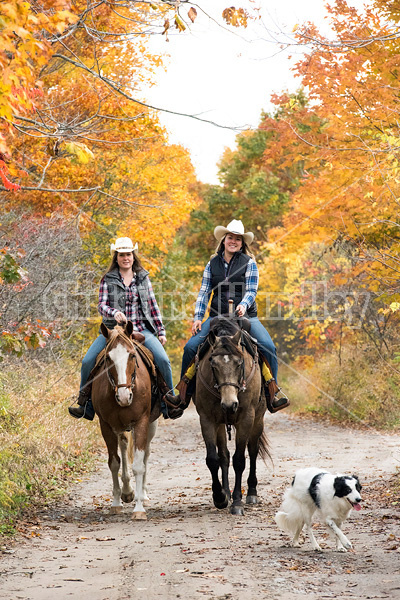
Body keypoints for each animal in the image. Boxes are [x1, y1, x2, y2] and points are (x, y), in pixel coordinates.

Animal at [91, 322, 159, 516]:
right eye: (108, 359)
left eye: (132, 355)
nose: (123, 396)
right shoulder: (106, 425)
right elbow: (114, 463)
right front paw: (116, 503)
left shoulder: (142, 422)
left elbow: (139, 464)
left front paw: (139, 508)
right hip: (120, 427)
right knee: (123, 445)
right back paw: (128, 491)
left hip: (150, 426)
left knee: (145, 455)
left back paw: (143, 494)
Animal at [194, 318, 268, 516]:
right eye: (212, 363)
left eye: (239, 363)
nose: (229, 404)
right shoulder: (207, 419)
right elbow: (213, 459)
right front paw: (220, 497)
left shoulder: (246, 419)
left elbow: (240, 460)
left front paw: (236, 503)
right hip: (221, 424)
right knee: (224, 456)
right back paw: (226, 492)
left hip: (258, 420)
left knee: (253, 451)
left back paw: (251, 493)